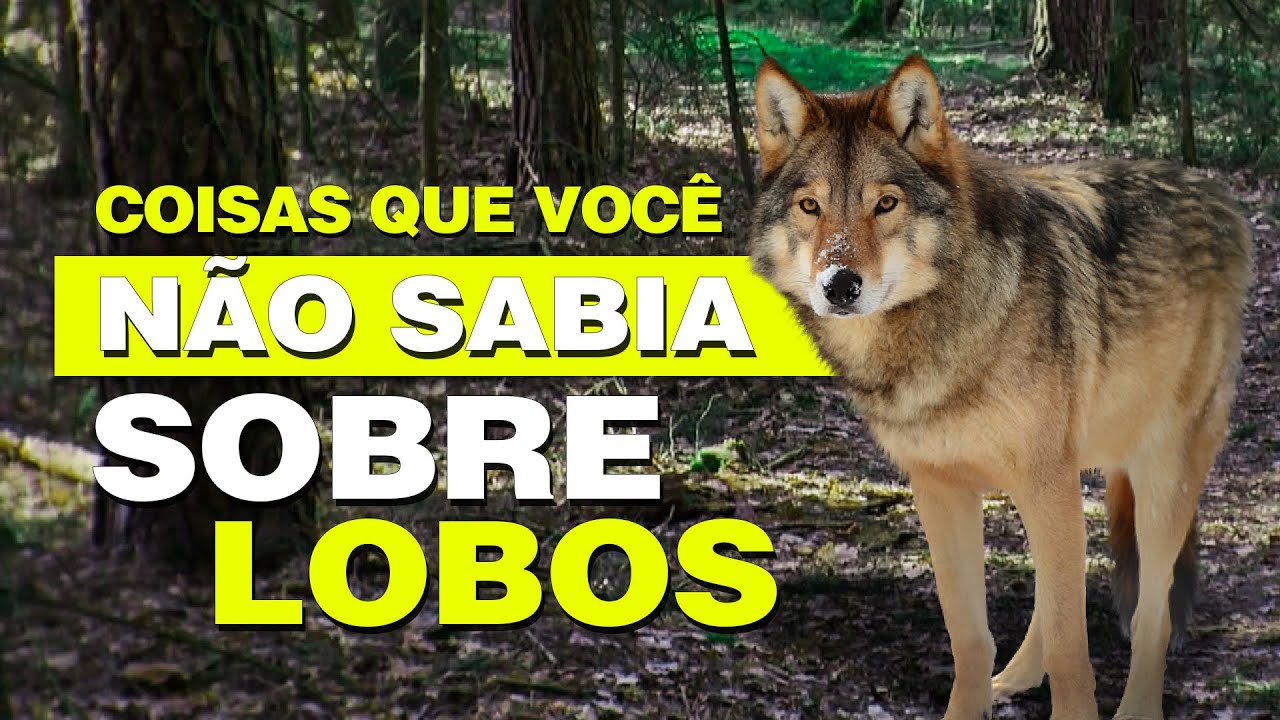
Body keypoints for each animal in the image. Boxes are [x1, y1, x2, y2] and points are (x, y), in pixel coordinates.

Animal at [747, 55, 1254, 720]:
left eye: (886, 203)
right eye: (811, 206)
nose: (840, 284)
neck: (943, 340)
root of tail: (1217, 194)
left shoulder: (1044, 480)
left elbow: (1073, 649)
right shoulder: (940, 490)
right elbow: (971, 635)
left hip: (1157, 476)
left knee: (1151, 616)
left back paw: (1135, 705)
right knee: (1055, 595)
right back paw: (1014, 677)